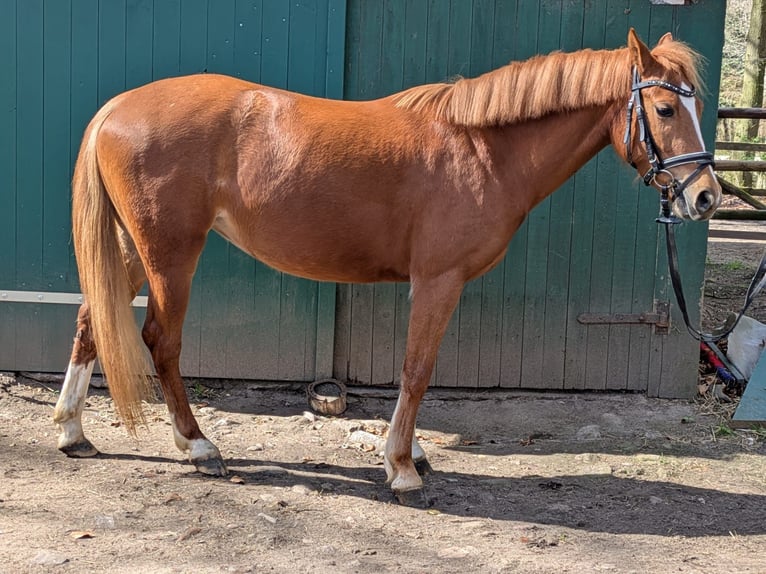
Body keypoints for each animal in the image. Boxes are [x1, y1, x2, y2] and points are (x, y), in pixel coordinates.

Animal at [53, 29, 720, 507]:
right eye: (665, 109)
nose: (706, 196)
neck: (480, 147)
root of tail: (116, 107)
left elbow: (413, 371)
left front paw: (412, 452)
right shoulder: (438, 281)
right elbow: (417, 370)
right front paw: (402, 468)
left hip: (133, 250)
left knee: (90, 321)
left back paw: (71, 432)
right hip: (170, 254)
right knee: (160, 340)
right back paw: (198, 446)